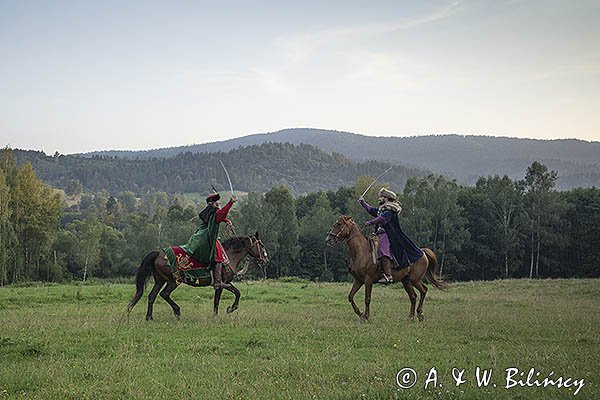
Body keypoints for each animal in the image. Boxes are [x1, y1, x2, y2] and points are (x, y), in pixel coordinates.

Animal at [128, 233, 270, 320]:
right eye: (261, 245)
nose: (266, 260)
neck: (229, 255)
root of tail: (158, 253)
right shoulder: (221, 283)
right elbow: (228, 296)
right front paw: (225, 311)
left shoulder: (224, 284)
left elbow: (230, 295)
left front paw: (224, 311)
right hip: (173, 281)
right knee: (164, 294)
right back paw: (177, 311)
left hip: (160, 280)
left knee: (152, 295)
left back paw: (149, 317)